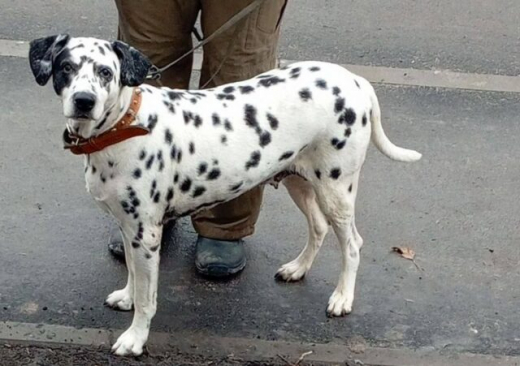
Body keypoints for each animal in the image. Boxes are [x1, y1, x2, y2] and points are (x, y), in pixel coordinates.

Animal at [28, 35, 420, 356]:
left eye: (105, 72)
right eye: (66, 67)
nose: (83, 100)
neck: (125, 125)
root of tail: (354, 80)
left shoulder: (146, 234)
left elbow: (147, 297)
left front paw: (135, 339)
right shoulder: (129, 229)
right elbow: (134, 278)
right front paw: (126, 296)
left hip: (336, 190)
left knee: (352, 243)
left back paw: (342, 298)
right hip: (300, 181)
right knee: (318, 228)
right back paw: (297, 268)